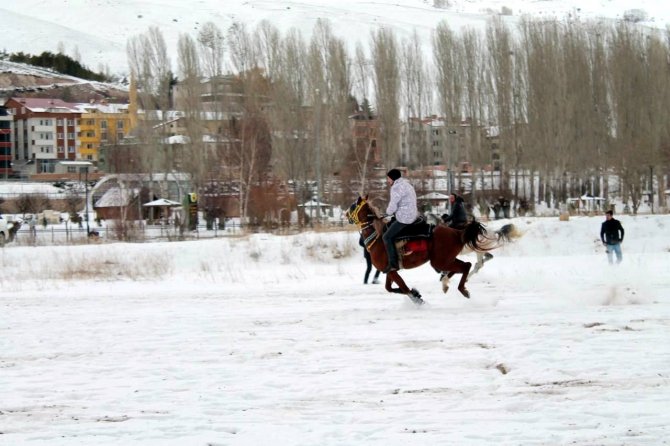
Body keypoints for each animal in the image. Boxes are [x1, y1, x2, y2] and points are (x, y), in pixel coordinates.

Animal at [350, 196, 502, 304]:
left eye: (353, 206)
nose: (346, 214)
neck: (378, 237)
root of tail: (458, 233)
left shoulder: (391, 270)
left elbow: (403, 287)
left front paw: (417, 299)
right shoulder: (391, 270)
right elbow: (390, 288)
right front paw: (416, 293)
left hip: (440, 261)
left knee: (467, 266)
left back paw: (461, 289)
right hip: (446, 259)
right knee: (466, 266)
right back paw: (446, 283)